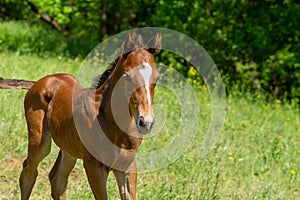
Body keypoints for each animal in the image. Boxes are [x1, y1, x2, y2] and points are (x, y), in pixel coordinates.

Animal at [19, 30, 162, 200]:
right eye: (127, 76)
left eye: (157, 77)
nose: (146, 121)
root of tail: (38, 83)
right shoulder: (94, 165)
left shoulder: (127, 165)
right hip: (40, 142)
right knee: (28, 172)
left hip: (69, 147)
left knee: (57, 179)